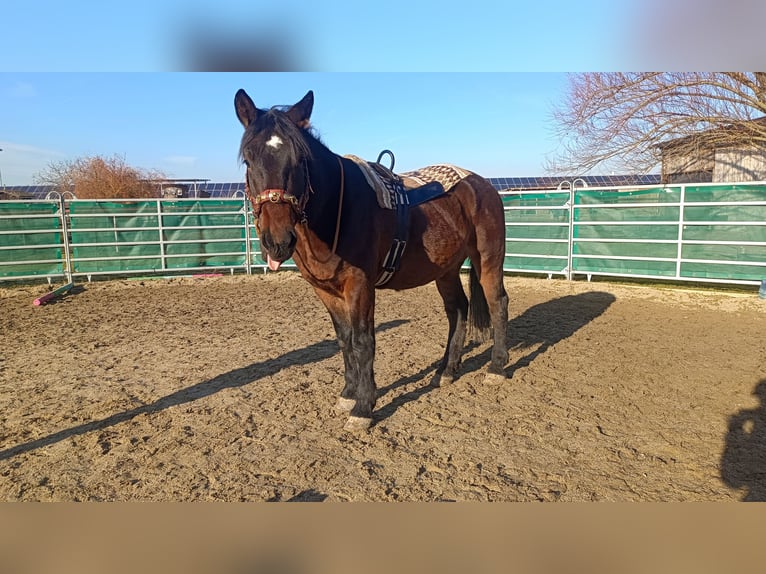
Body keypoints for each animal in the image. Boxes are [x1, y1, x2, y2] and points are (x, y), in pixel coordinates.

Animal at [234, 90, 510, 432]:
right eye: (249, 159)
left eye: (300, 160)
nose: (278, 241)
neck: (337, 210)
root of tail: (482, 184)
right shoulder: (325, 290)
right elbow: (344, 340)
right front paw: (348, 394)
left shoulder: (360, 286)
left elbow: (363, 341)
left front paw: (363, 407)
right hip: (445, 269)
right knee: (457, 309)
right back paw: (446, 371)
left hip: (488, 259)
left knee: (497, 302)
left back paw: (497, 367)